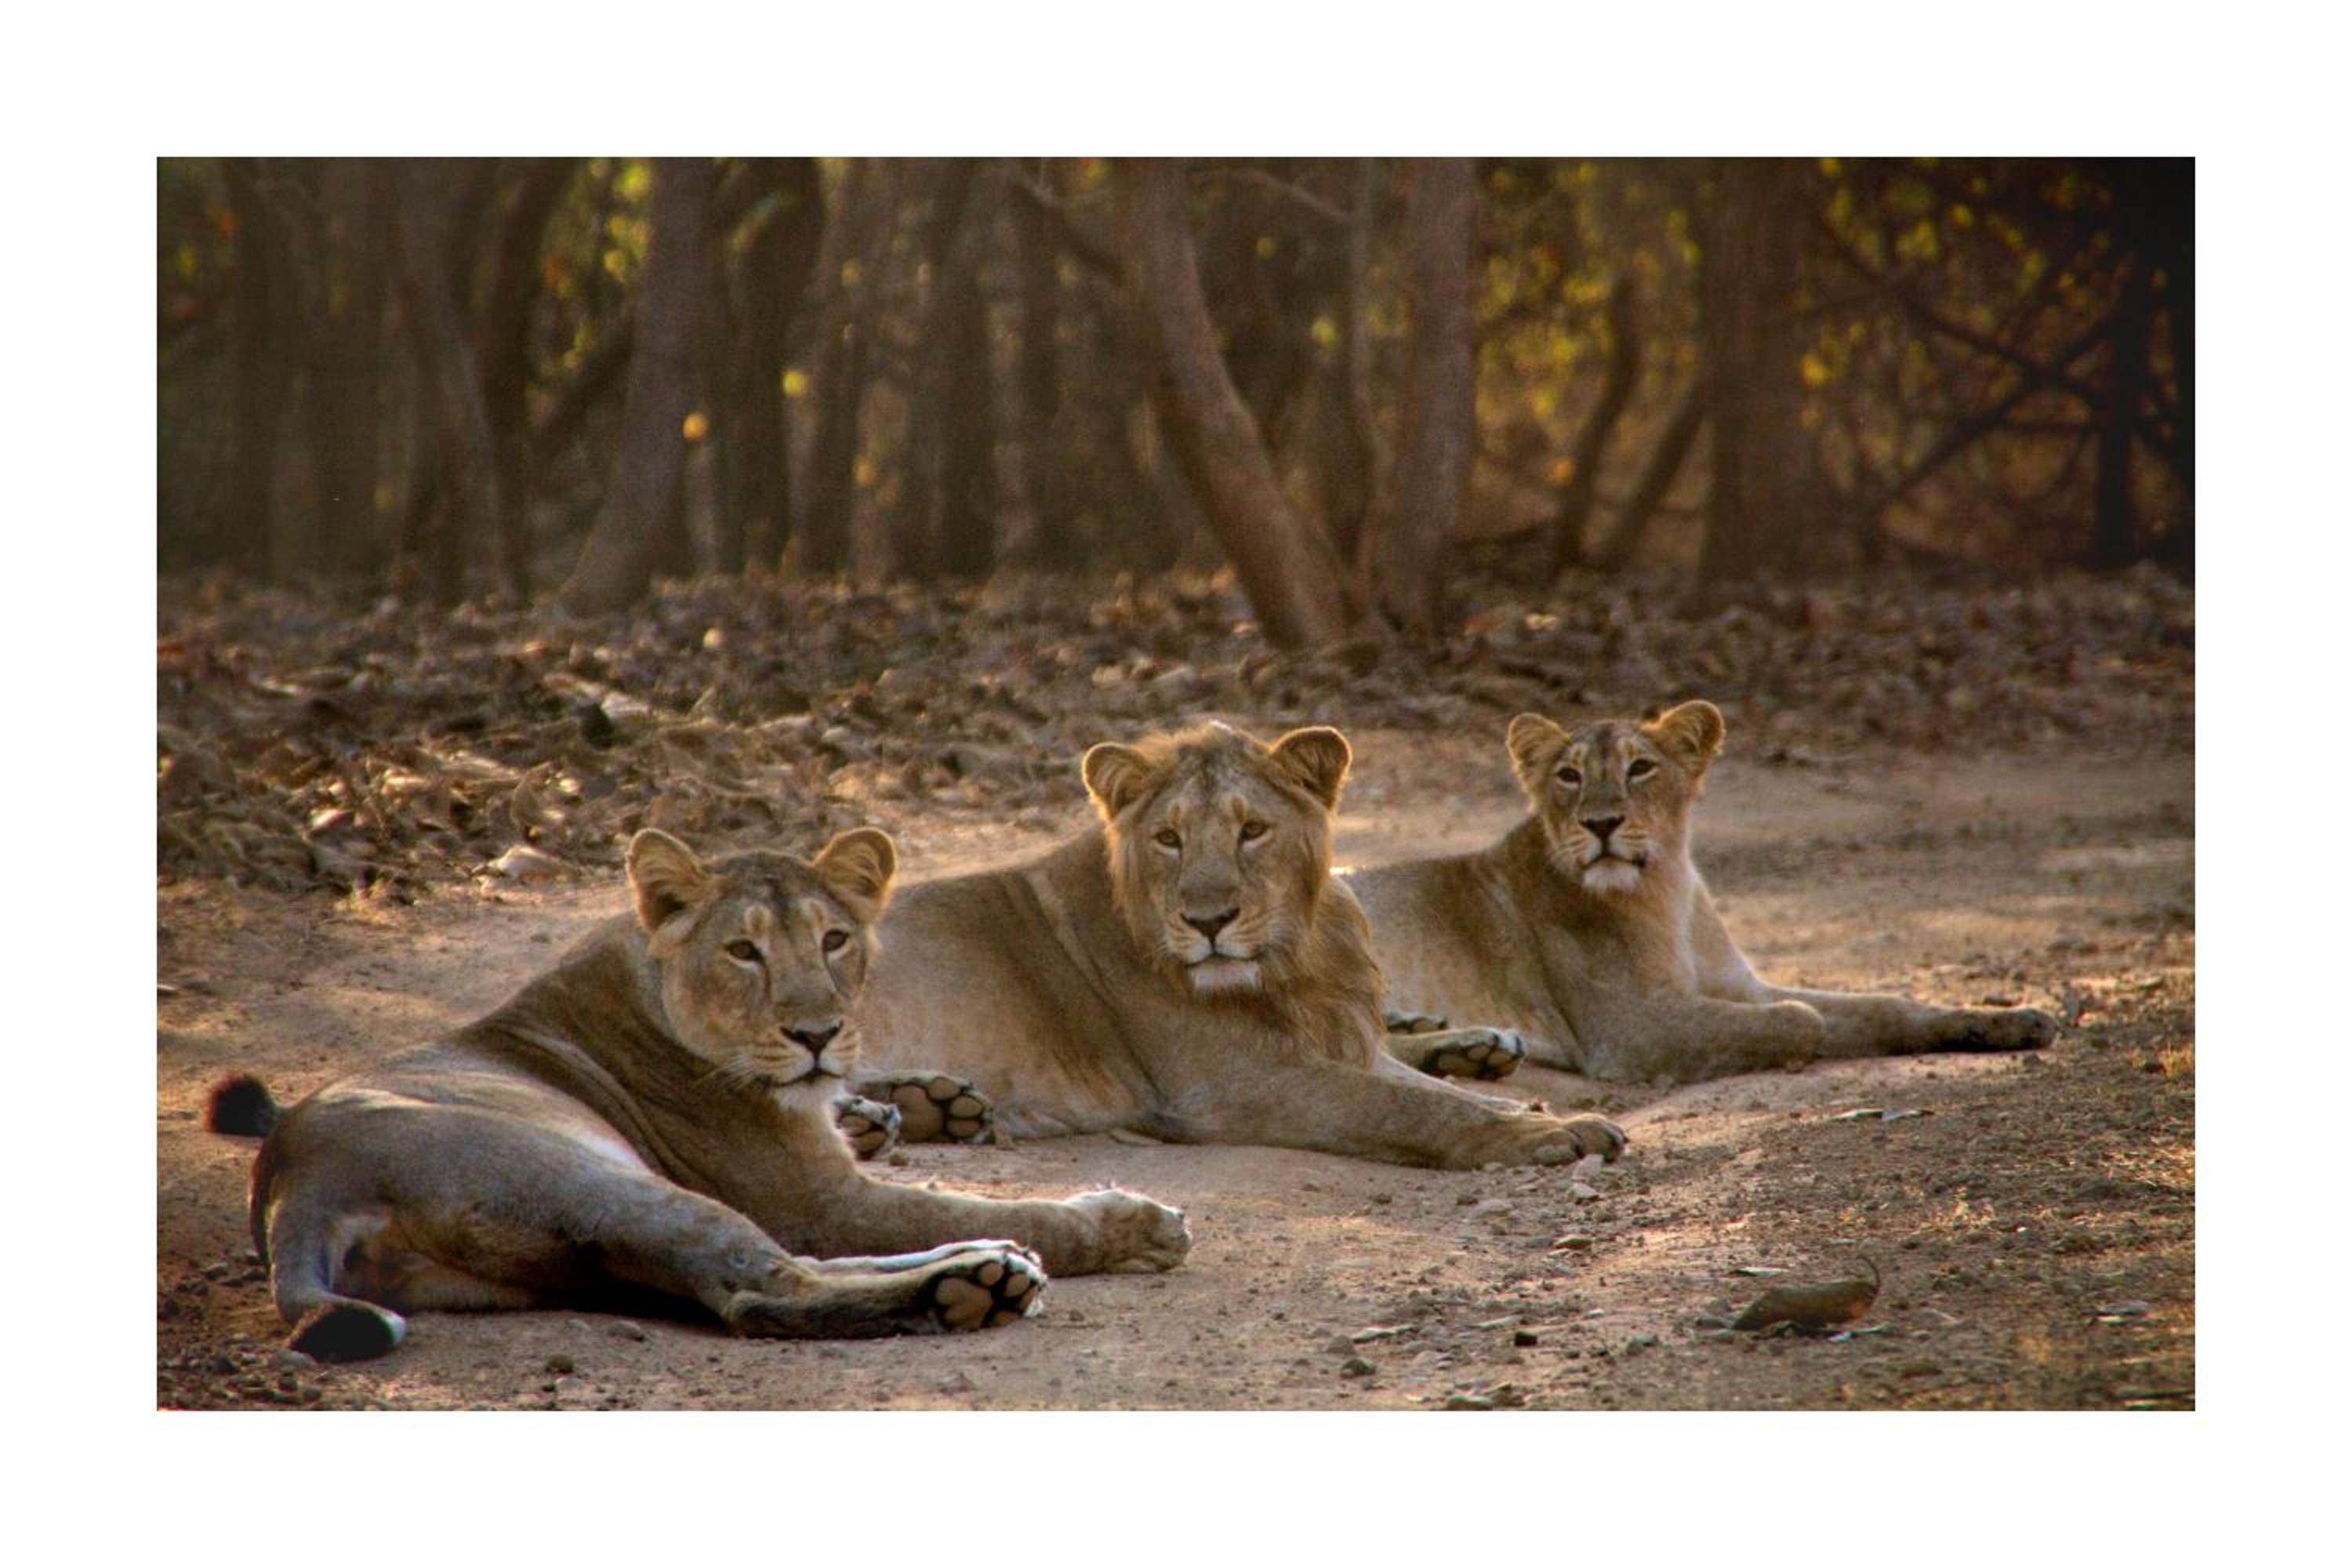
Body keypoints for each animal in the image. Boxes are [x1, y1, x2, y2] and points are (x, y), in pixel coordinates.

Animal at [204, 826, 1190, 1363]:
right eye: (743, 950)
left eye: (834, 938)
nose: (816, 1030)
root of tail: (294, 1180)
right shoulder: (819, 1197)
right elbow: (1008, 1203)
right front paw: (1130, 1219)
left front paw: (912, 1103)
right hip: (602, 1184)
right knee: (765, 1289)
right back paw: (977, 1282)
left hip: (564, 1260)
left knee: (765, 1273)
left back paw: (980, 1258)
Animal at [847, 722, 1626, 1169]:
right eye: (1168, 838)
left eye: (1252, 831)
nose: (1209, 921)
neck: (1293, 958)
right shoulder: (1231, 1083)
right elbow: (1411, 1108)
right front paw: (1532, 1137)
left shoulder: (1340, 1043)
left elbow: (1429, 1090)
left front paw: (1549, 1116)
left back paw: (929, 1104)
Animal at [1342, 702, 2060, 1085]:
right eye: (1569, 776)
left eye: (1641, 768)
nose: (1601, 823)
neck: (1667, 889)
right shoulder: (1632, 1028)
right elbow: (1803, 1019)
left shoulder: (1739, 986)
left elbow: (1881, 1006)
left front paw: (2010, 1021)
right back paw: (1467, 1048)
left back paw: (1455, 1040)